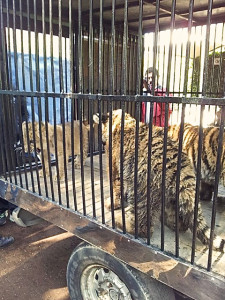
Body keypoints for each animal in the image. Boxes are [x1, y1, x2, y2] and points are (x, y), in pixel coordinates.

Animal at [93, 109, 225, 252]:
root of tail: (183, 170)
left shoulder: (115, 167)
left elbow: (115, 186)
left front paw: (112, 204)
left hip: (142, 190)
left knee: (143, 226)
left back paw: (120, 222)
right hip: (173, 197)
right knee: (181, 223)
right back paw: (168, 221)